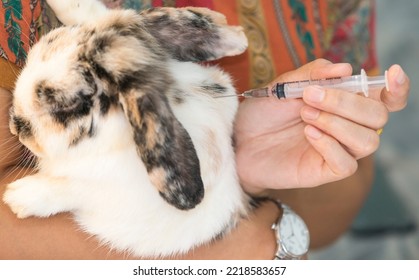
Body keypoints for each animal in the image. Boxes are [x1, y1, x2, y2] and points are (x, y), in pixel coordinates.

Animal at [3, 0, 251, 258]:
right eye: (51, 40)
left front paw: (18, 197)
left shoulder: (106, 190)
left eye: (69, 105)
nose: (14, 124)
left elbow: (71, 188)